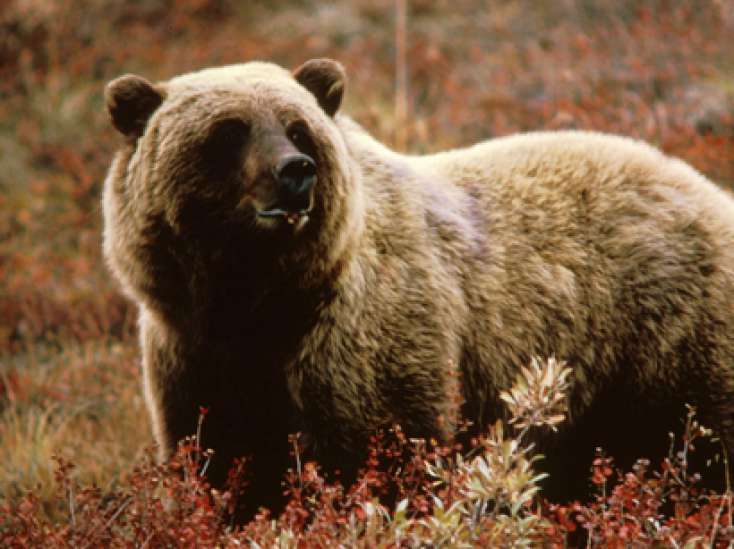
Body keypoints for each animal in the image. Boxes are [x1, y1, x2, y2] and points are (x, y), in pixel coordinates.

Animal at [102, 57, 734, 512]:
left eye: (297, 128)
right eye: (229, 130)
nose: (295, 172)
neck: (258, 300)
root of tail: (708, 189)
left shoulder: (362, 341)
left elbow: (379, 457)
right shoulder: (193, 354)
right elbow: (219, 460)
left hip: (666, 339)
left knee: (704, 449)